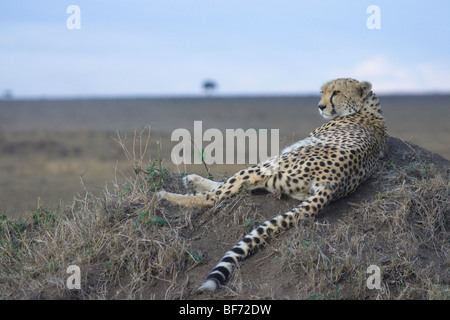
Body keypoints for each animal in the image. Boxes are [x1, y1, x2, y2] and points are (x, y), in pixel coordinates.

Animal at [156, 78, 384, 292]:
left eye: (336, 93)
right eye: (323, 92)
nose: (320, 106)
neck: (367, 107)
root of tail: (332, 183)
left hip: (268, 166)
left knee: (213, 197)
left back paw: (166, 196)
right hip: (277, 179)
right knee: (232, 188)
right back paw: (191, 181)